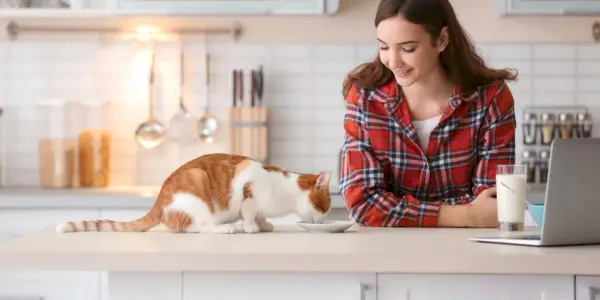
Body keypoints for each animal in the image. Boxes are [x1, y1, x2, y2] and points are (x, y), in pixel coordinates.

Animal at [55, 152, 332, 234]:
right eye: (325, 208)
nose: (325, 219)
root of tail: (160, 199)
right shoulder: (249, 190)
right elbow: (248, 213)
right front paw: (252, 227)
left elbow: (262, 216)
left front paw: (265, 225)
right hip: (197, 192)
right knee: (196, 227)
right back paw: (226, 228)